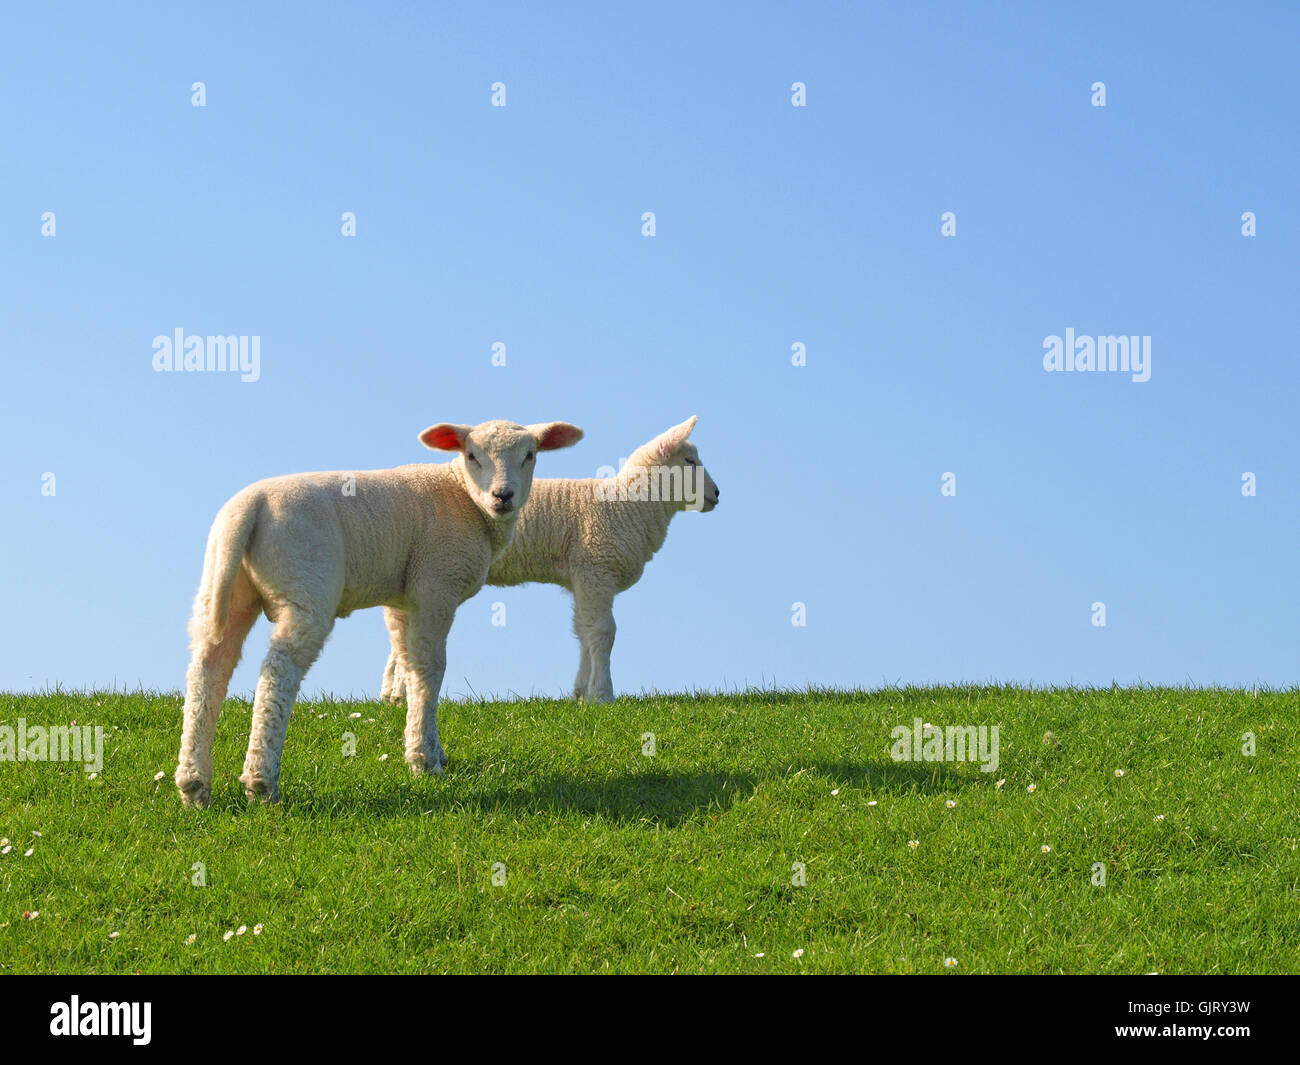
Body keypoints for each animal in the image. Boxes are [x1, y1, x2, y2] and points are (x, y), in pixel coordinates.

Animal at [174, 418, 584, 807]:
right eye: (472, 455)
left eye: (530, 455)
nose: (503, 496)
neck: (463, 497)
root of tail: (249, 506)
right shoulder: (435, 586)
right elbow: (430, 668)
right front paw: (425, 762)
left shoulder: (403, 600)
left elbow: (408, 664)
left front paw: (428, 748)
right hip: (307, 582)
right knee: (278, 671)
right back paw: (261, 783)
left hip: (224, 584)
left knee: (209, 668)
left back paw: (194, 785)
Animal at [381, 415, 718, 706]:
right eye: (689, 461)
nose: (717, 493)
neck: (628, 505)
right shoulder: (597, 569)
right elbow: (603, 632)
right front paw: (604, 696)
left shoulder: (582, 576)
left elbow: (583, 631)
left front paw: (582, 694)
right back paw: (401, 694)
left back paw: (391, 695)